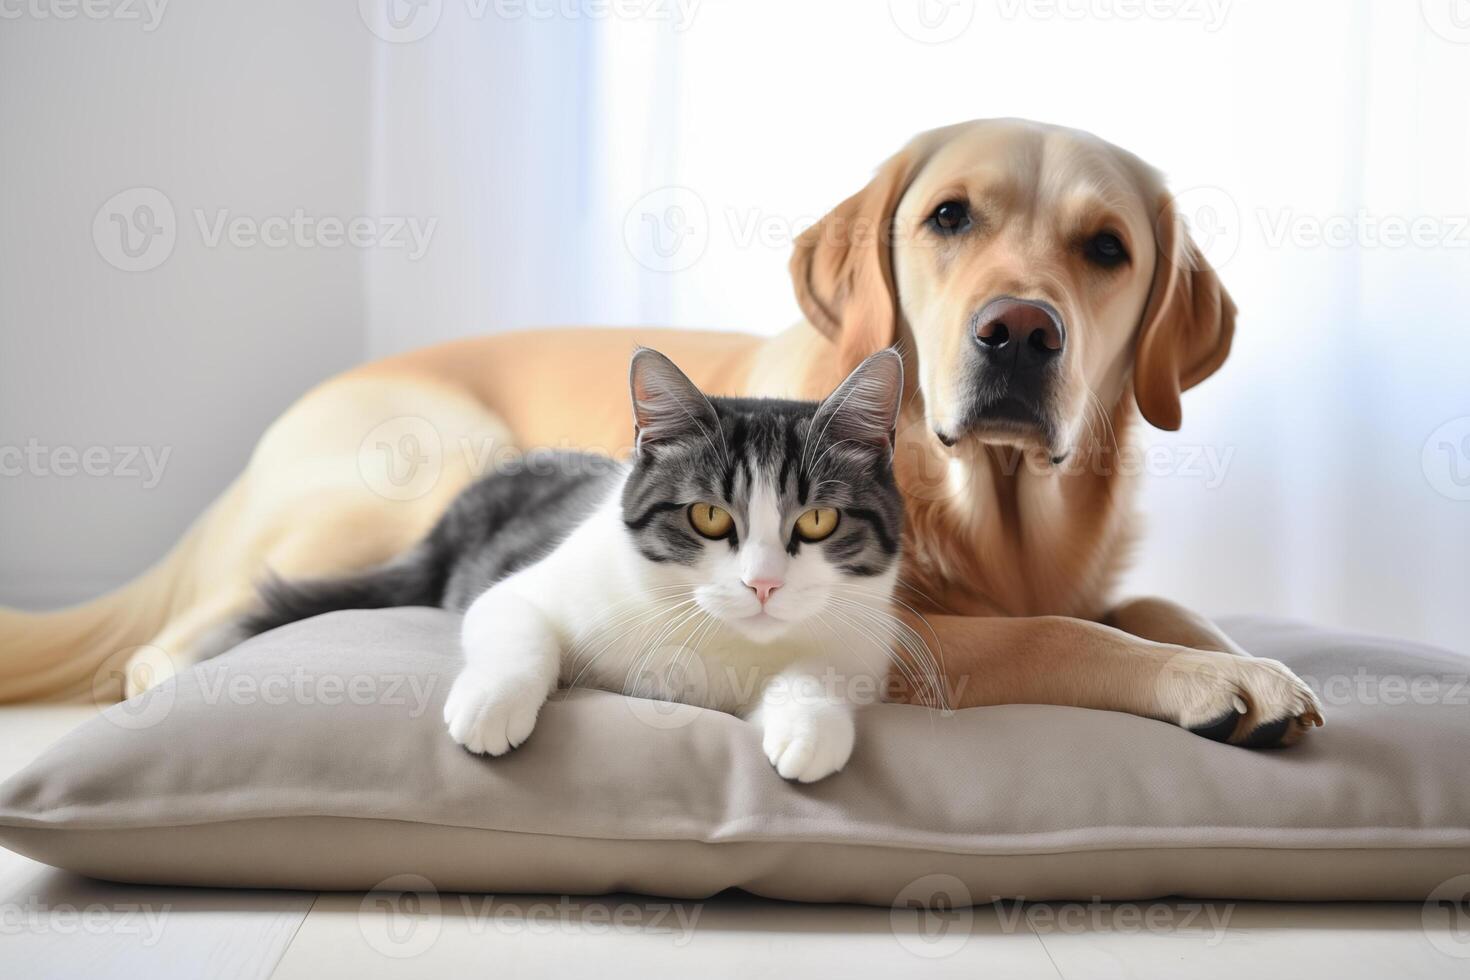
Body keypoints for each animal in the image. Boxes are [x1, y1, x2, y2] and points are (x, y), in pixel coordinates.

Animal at [0, 116, 1323, 743]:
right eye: (949, 217)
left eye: (1108, 248)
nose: (1020, 332)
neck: (997, 514)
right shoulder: (926, 639)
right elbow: (1065, 633)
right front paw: (1209, 678)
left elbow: (1152, 604)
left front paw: (1257, 663)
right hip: (419, 475)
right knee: (189, 633)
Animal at [232, 348, 905, 787]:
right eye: (710, 515)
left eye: (817, 521)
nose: (762, 584)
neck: (718, 640)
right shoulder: (529, 589)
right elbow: (516, 624)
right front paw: (491, 706)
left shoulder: (864, 641)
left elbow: (825, 670)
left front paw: (810, 731)